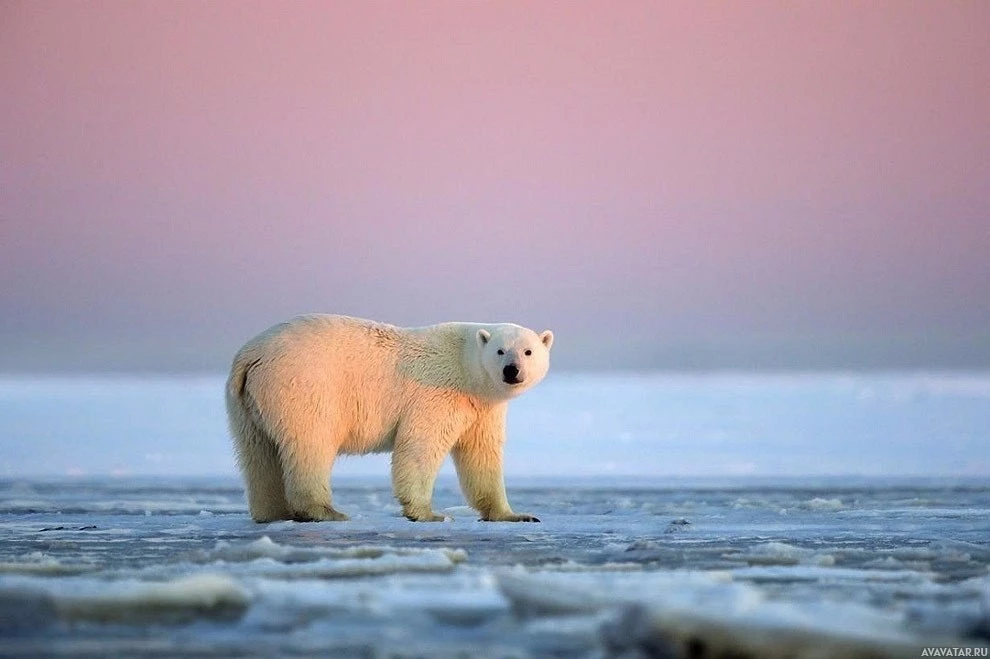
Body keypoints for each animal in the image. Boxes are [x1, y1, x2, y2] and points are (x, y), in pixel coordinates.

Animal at [226, 314, 556, 524]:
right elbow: (420, 447)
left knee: (258, 454)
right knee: (310, 444)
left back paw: (272, 512)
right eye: (500, 351)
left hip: (246, 404)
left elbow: (481, 456)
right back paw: (325, 511)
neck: (465, 366)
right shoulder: (437, 394)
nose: (512, 370)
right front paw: (429, 514)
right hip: (302, 387)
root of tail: (249, 355)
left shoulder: (482, 408)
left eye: (528, 351)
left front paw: (516, 515)